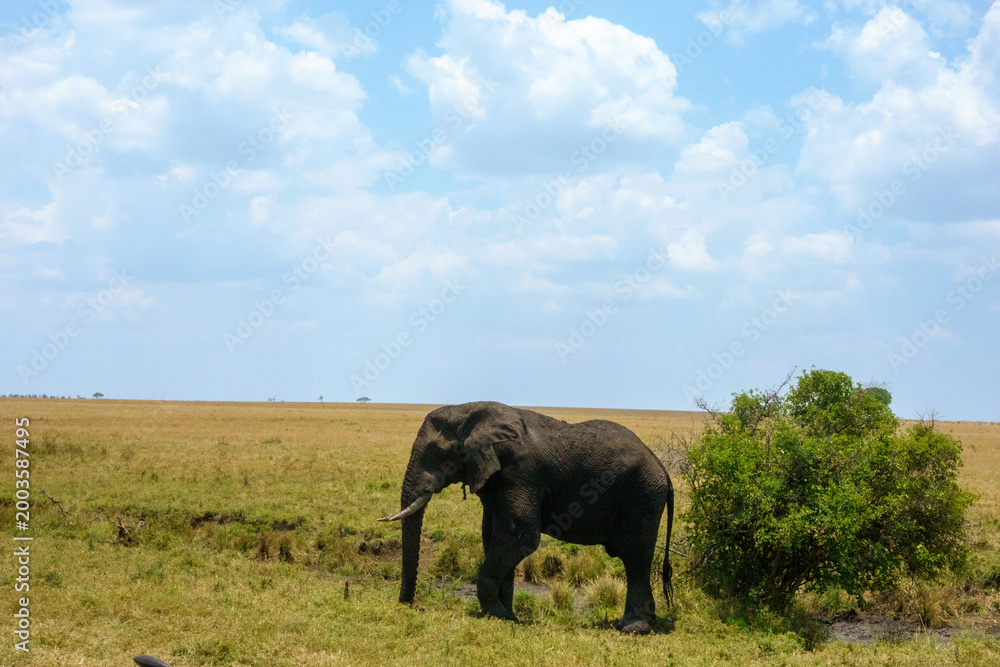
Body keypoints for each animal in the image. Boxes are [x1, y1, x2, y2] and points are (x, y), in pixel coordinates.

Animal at [378, 401, 673, 634]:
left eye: (436, 454)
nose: (409, 605)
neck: (469, 411)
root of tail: (661, 466)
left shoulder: (520, 473)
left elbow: (520, 536)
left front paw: (496, 614)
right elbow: (494, 537)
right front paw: (506, 616)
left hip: (642, 497)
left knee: (634, 557)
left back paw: (632, 629)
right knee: (637, 559)